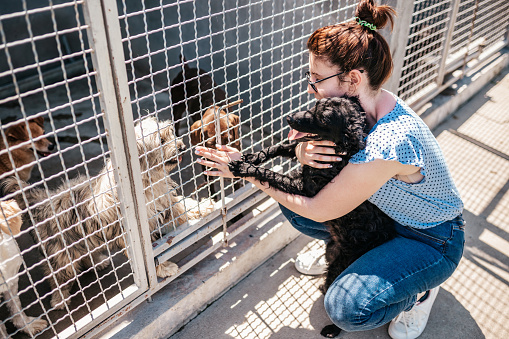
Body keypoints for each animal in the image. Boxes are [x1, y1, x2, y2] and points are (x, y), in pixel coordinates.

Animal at [227, 97, 396, 338]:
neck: (340, 154)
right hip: (330, 252)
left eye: (324, 119)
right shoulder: (306, 152)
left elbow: (272, 174)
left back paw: (332, 329)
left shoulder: (302, 188)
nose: (290, 118)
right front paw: (252, 156)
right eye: (317, 103)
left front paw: (245, 167)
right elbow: (281, 146)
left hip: (340, 268)